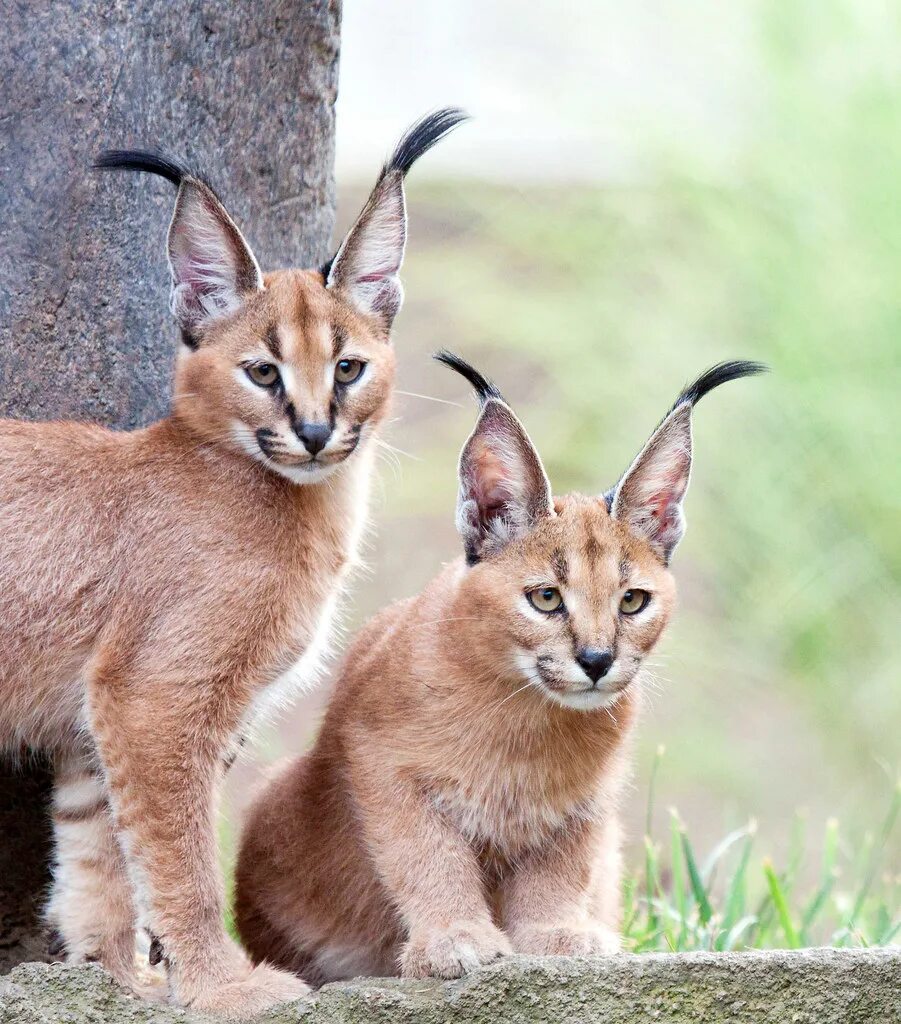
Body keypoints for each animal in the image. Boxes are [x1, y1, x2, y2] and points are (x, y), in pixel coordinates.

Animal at [0, 112, 464, 1015]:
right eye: (262, 371)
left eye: (347, 367)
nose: (315, 432)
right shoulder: (155, 694)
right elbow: (179, 855)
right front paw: (223, 986)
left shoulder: (97, 713)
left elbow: (101, 854)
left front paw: (116, 981)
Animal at [235, 354, 761, 983]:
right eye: (546, 599)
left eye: (632, 601)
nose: (597, 661)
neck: (526, 714)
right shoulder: (381, 764)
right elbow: (426, 854)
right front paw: (453, 938)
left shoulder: (588, 801)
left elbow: (562, 865)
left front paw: (554, 934)